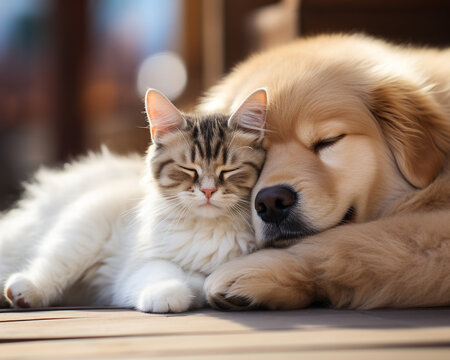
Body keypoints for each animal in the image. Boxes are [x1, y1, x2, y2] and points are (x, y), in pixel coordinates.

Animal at [0, 87, 268, 312]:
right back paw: (22, 292)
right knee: (45, 269)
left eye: (229, 171)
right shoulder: (139, 267)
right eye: (188, 169)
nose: (209, 191)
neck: (208, 230)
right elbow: (164, 275)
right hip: (85, 229)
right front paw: (166, 296)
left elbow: (198, 282)